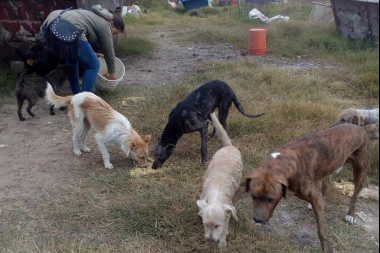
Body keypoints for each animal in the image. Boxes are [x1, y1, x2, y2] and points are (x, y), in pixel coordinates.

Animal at [197, 113, 242, 249]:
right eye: (206, 224)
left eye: (217, 225)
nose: (211, 240)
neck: (215, 197)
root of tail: (229, 146)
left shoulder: (226, 216)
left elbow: (224, 229)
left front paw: (222, 242)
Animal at [245, 124, 378, 253]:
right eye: (253, 196)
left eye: (270, 199)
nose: (257, 219)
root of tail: (362, 128)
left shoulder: (314, 197)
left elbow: (322, 230)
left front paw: (326, 248)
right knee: (326, 184)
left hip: (361, 172)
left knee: (355, 195)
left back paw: (350, 214)